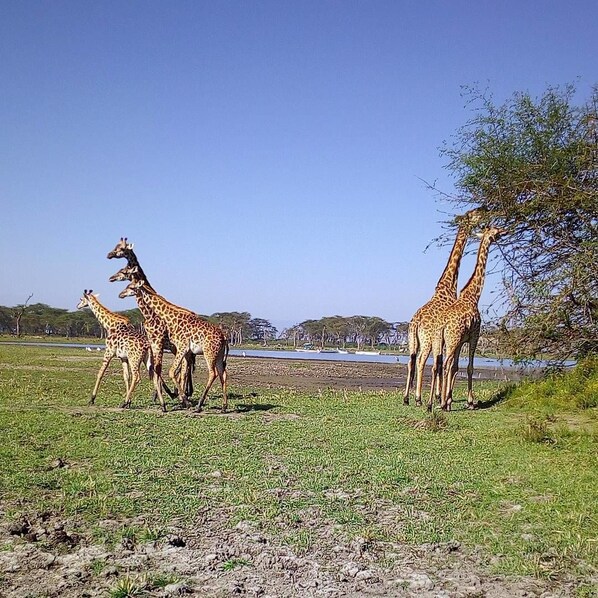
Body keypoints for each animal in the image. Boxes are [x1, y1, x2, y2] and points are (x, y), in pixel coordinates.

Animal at [106, 238, 195, 401]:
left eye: (121, 248)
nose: (109, 255)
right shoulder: (155, 343)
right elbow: (155, 367)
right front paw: (161, 395)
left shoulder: (158, 341)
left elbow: (156, 367)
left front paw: (166, 395)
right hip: (176, 348)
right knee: (185, 367)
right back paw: (182, 393)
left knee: (185, 367)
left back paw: (183, 394)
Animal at [119, 277, 230, 412]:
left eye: (130, 286)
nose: (120, 294)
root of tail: (224, 337)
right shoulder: (179, 349)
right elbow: (165, 370)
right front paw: (178, 398)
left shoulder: (179, 347)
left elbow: (169, 371)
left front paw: (182, 400)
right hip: (218, 355)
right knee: (222, 374)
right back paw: (223, 406)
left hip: (209, 353)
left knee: (212, 373)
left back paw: (197, 404)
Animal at [403, 209, 481, 406]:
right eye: (473, 214)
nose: (484, 210)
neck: (448, 286)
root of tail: (416, 323)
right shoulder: (447, 337)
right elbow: (445, 364)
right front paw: (441, 396)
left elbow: (441, 364)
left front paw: (440, 396)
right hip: (427, 340)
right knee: (422, 361)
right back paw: (418, 398)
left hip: (413, 339)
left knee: (411, 361)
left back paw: (407, 398)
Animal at [429, 226, 506, 412]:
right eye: (496, 231)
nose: (505, 231)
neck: (473, 295)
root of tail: (442, 324)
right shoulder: (474, 336)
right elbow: (469, 367)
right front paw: (470, 402)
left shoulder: (461, 341)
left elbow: (456, 367)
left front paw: (450, 400)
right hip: (451, 340)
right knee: (445, 365)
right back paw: (441, 404)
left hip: (440, 340)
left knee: (437, 365)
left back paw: (430, 404)